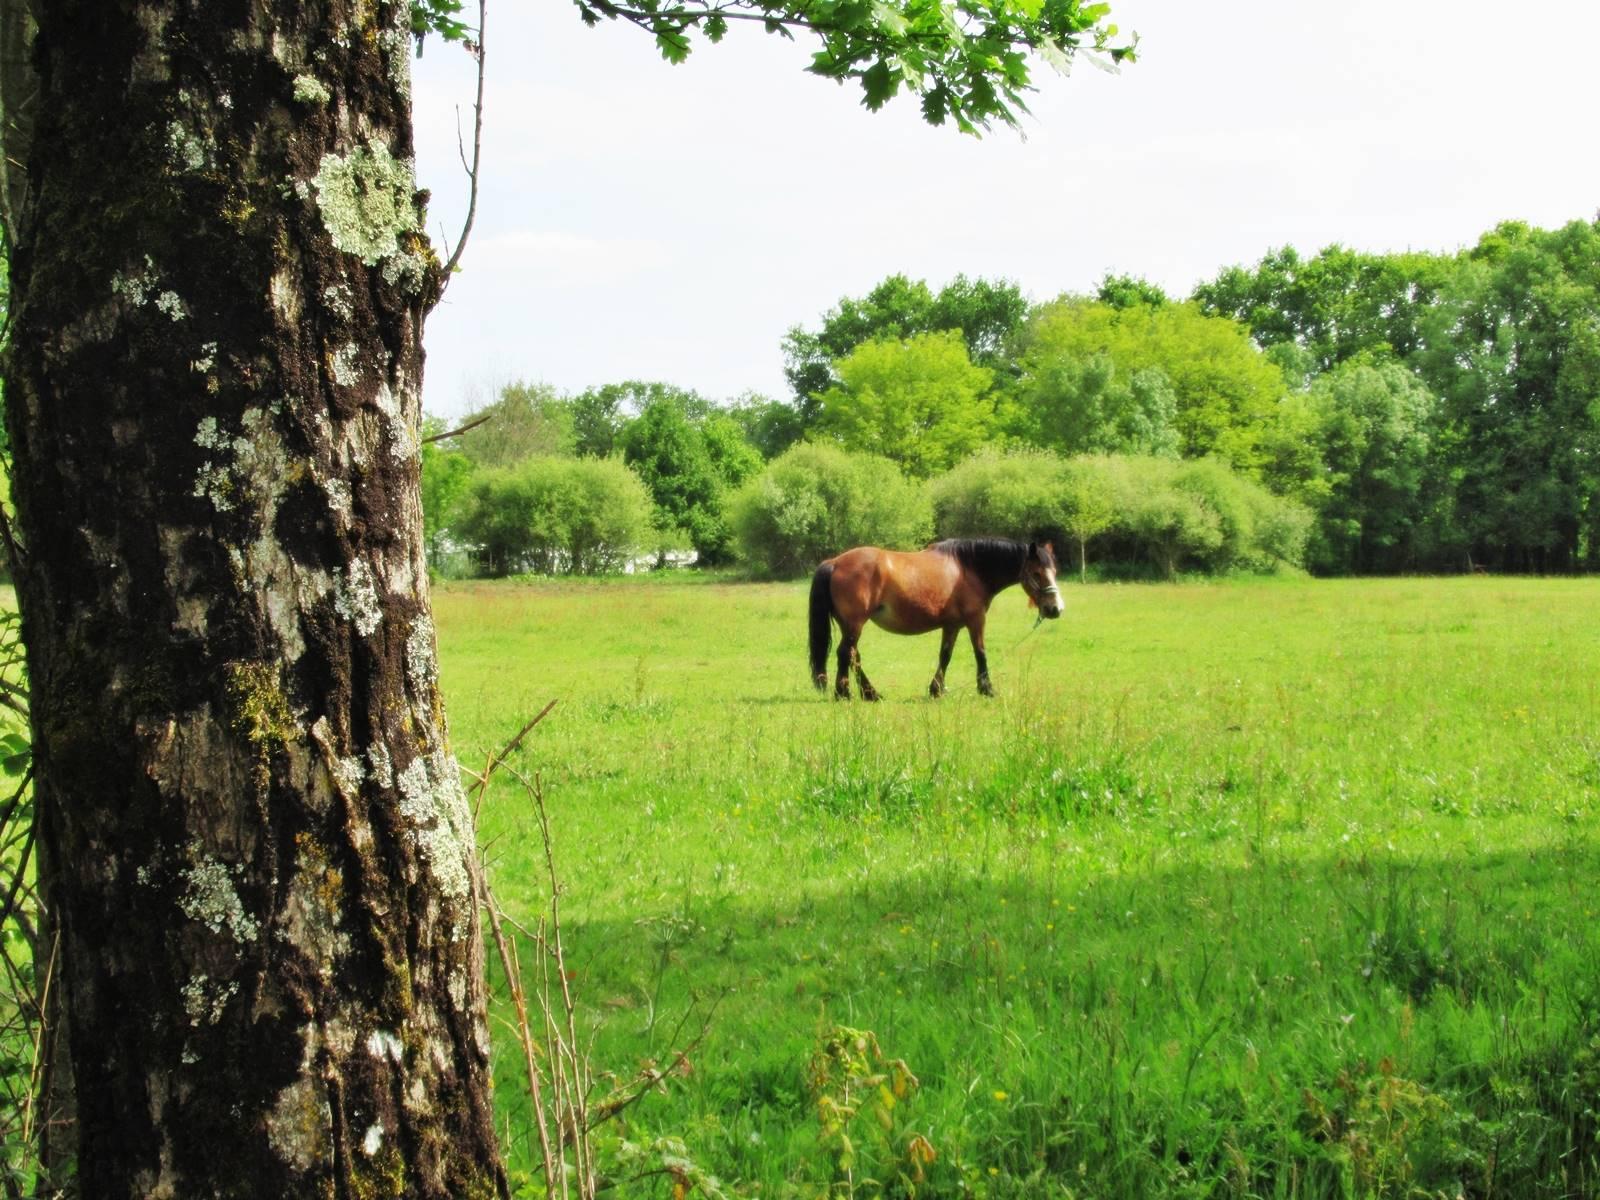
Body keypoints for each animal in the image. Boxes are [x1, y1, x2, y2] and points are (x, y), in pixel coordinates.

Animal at [812, 540, 1062, 700]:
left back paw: (870, 693)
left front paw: (936, 689)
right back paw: (844, 693)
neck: (969, 569)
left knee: (853, 656)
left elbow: (945, 655)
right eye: (1037, 573)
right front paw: (987, 689)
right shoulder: (976, 620)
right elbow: (980, 652)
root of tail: (835, 562)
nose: (1055, 609)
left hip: (850, 626)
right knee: (845, 654)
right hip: (854, 624)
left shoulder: (952, 625)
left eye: (1055, 572)